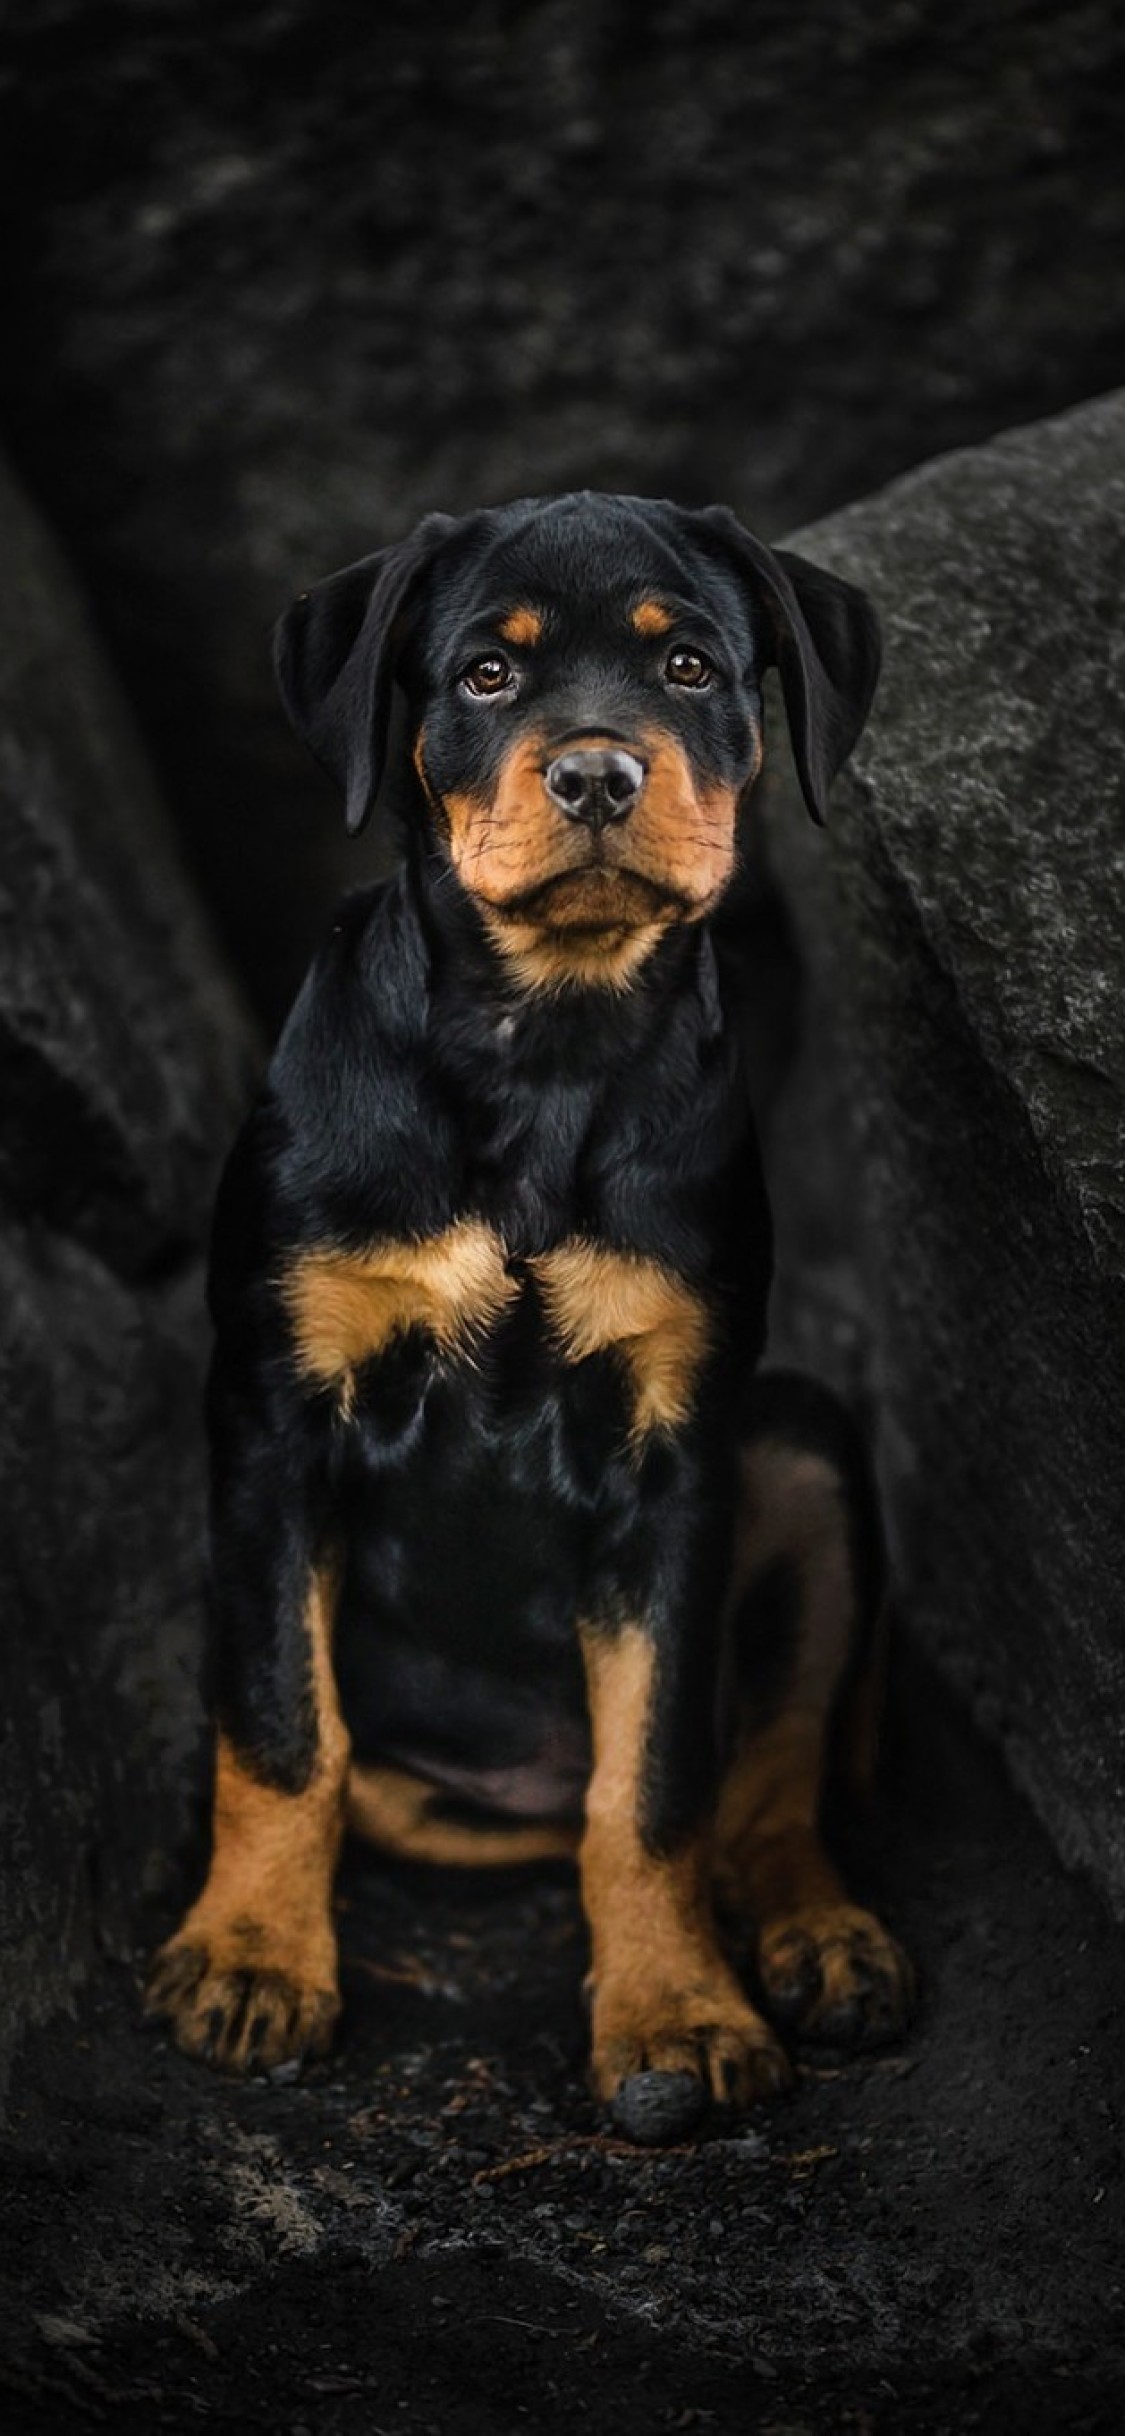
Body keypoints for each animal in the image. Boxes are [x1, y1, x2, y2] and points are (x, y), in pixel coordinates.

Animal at [147, 489, 915, 2133]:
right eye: (485, 677)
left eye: (690, 666)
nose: (598, 774)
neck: (545, 1043)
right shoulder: (273, 1416)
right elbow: (282, 1726)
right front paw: (251, 1965)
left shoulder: (674, 1457)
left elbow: (658, 1781)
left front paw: (676, 2013)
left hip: (801, 1449)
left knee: (759, 1776)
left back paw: (819, 1939)